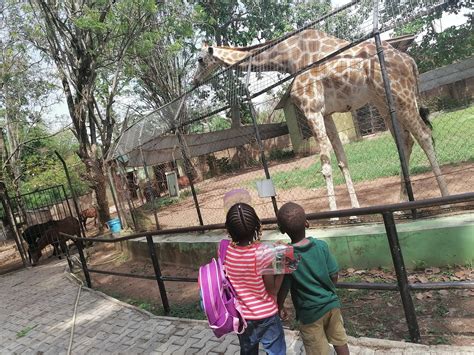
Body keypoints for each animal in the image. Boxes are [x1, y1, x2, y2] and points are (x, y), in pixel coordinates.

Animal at [193, 29, 452, 211]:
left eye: (199, 59)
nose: (194, 81)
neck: (288, 58)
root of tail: (412, 63)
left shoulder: (312, 109)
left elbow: (325, 165)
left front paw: (335, 214)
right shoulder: (326, 113)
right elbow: (342, 160)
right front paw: (355, 210)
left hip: (401, 96)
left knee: (424, 135)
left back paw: (446, 198)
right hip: (383, 101)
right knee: (405, 141)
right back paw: (402, 204)